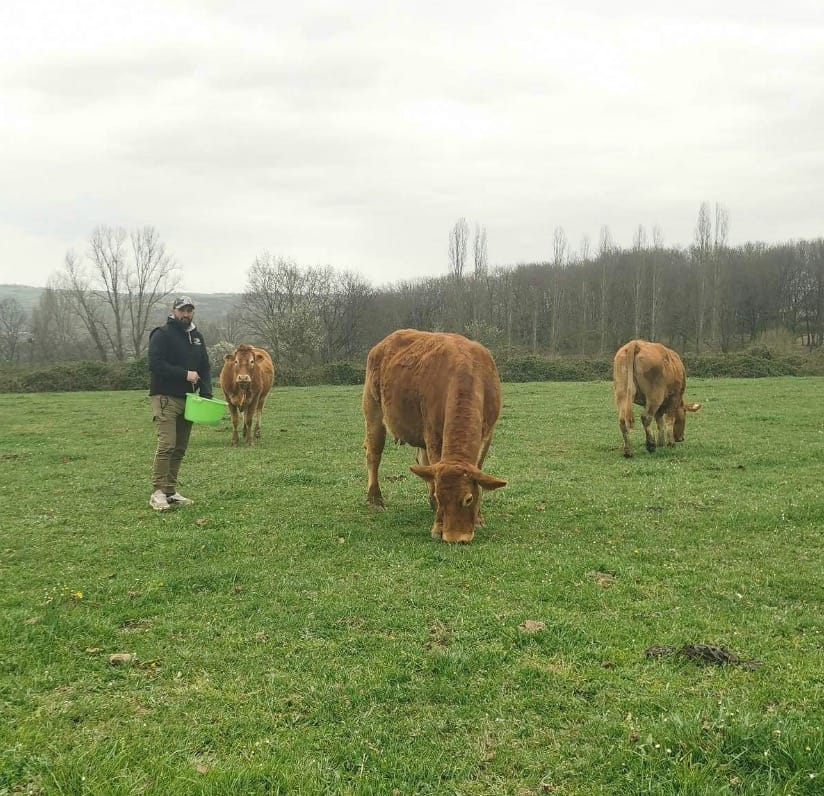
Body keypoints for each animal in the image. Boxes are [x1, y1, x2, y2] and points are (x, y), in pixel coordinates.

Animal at [362, 328, 506, 540]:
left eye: (468, 499)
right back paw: (375, 499)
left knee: (423, 462)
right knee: (373, 455)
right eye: (441, 496)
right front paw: (438, 523)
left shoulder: (487, 435)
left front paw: (479, 519)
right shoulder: (433, 434)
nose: (455, 537)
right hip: (373, 411)